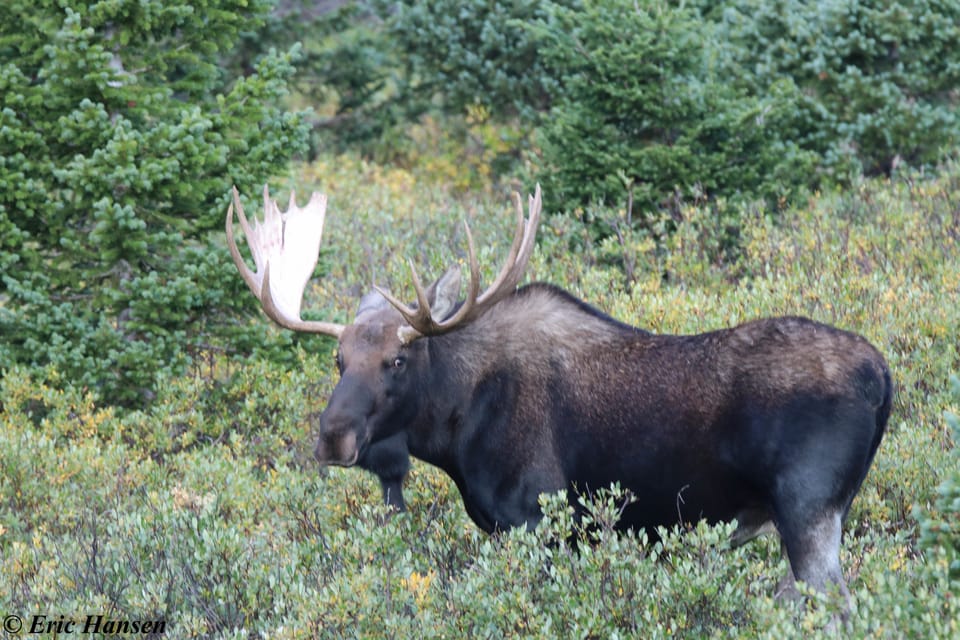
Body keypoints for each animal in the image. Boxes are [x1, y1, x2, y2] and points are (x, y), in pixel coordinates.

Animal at [227, 184, 892, 600]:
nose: (333, 438)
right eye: (338, 359)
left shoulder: (537, 520)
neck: (456, 428)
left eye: (396, 359)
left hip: (807, 507)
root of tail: (883, 376)